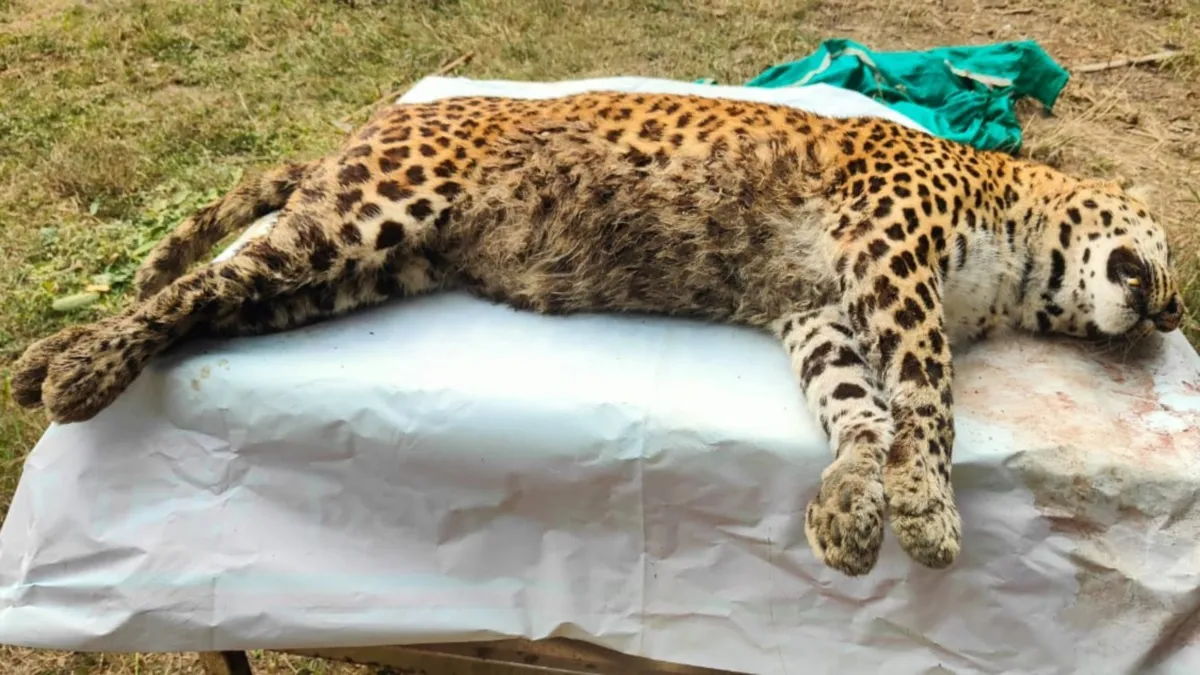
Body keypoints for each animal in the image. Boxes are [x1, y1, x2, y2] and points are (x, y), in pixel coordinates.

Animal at [10, 90, 1184, 578]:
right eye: (1171, 257)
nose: (1170, 312)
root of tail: (371, 123)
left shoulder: (823, 311)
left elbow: (855, 408)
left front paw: (852, 511)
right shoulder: (889, 259)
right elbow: (930, 401)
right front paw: (929, 514)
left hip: (357, 268)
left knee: (224, 294)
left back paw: (56, 362)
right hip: (372, 209)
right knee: (199, 282)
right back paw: (68, 365)